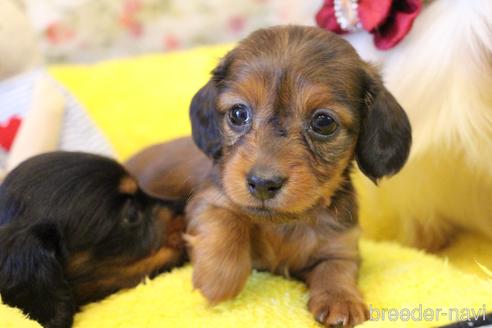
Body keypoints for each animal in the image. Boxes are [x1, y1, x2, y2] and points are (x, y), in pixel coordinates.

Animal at [128, 24, 412, 326]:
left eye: (323, 122)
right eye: (238, 113)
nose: (263, 184)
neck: (284, 224)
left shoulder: (341, 242)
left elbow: (337, 267)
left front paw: (341, 300)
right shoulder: (208, 199)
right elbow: (225, 219)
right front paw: (218, 280)